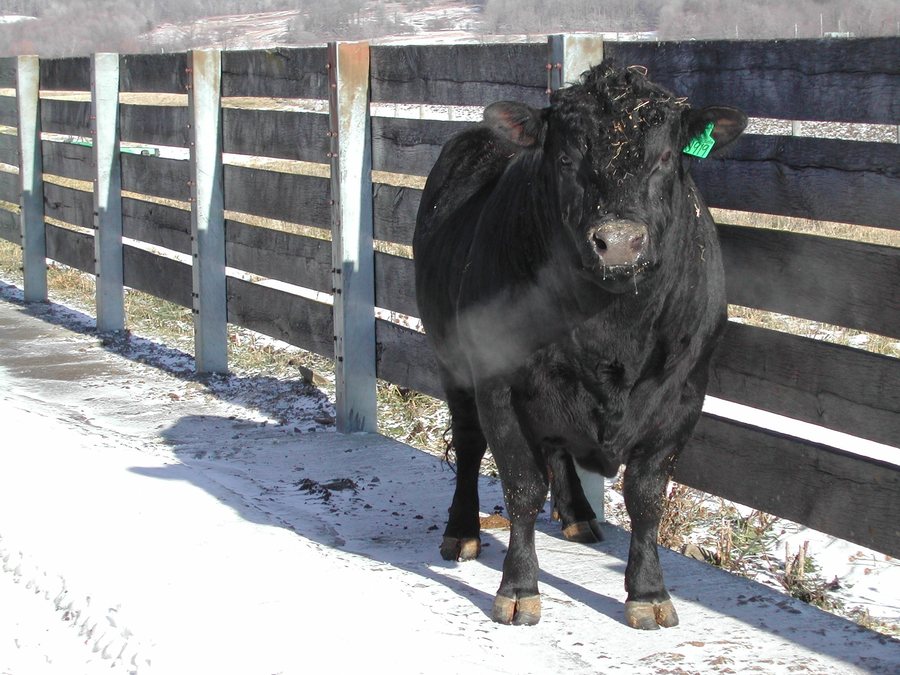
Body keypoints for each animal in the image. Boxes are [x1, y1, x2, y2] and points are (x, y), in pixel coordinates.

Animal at [413, 60, 746, 630]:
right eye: (566, 158)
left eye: (665, 157)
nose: (619, 243)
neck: (612, 327)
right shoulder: (498, 383)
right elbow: (522, 486)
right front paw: (519, 587)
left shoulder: (686, 392)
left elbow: (646, 495)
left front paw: (648, 593)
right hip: (451, 361)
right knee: (471, 443)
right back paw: (462, 532)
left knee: (556, 446)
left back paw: (579, 516)